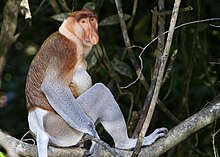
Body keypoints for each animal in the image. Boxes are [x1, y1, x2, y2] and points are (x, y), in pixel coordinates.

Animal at [25, 10, 167, 157]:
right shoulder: (66, 49)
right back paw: (125, 143)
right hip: (63, 128)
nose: (93, 34)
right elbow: (52, 86)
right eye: (83, 22)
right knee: (101, 91)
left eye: (92, 20)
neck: (70, 35)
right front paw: (92, 132)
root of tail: (40, 130)